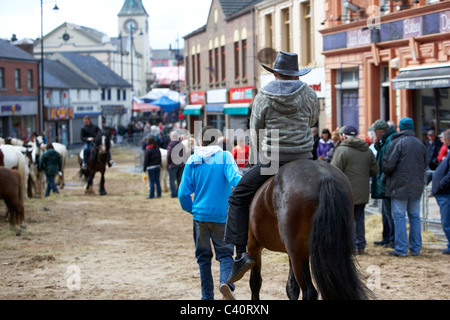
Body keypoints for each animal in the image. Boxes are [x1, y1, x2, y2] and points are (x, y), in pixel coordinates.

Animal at [248, 160, 370, 300]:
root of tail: (324, 176)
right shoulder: (289, 252)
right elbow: (291, 288)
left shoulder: (253, 245)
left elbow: (255, 282)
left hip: (299, 255)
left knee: (309, 291)